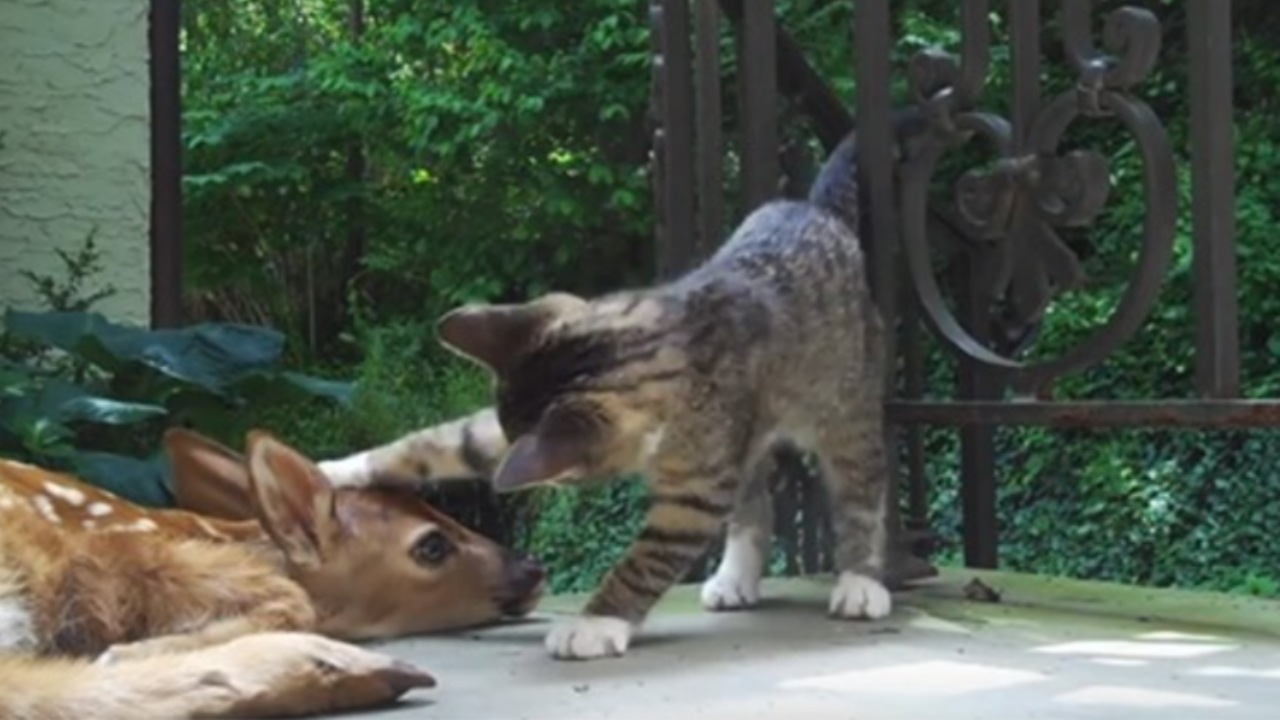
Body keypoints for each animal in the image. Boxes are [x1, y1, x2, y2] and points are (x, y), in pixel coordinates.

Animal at [417, 130, 890, 661]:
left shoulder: (696, 490)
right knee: (752, 498)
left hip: (847, 401)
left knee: (860, 486)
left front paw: (595, 622)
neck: (672, 343)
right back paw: (735, 577)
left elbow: (646, 559)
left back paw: (860, 581)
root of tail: (816, 210)